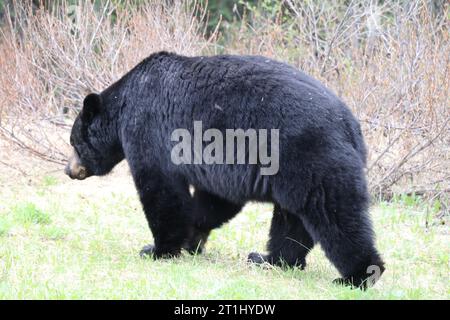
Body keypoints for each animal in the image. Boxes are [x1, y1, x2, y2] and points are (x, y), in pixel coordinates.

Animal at [65, 52, 384, 288]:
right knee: (292, 220)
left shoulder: (148, 127)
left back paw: (359, 275)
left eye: (74, 142)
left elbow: (161, 189)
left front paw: (157, 249)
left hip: (310, 156)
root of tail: (351, 128)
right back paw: (269, 260)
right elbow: (215, 200)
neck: (124, 103)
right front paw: (192, 238)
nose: (69, 170)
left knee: (334, 214)